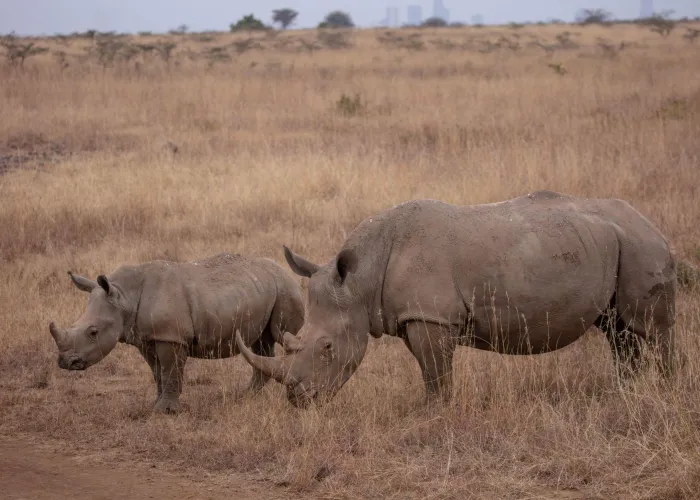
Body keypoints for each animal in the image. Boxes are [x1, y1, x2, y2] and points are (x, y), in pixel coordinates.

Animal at [49, 252, 304, 413]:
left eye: (93, 332)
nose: (66, 362)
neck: (124, 296)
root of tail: (284, 270)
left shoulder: (170, 336)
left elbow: (170, 370)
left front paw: (166, 411)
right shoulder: (147, 337)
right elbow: (158, 372)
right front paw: (156, 405)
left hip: (285, 289)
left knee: (283, 336)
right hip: (260, 289)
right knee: (261, 344)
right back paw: (246, 396)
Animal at [236, 190, 677, 408]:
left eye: (327, 348)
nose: (297, 400)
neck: (360, 281)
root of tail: (650, 223)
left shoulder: (430, 316)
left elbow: (435, 371)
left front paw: (433, 412)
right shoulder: (415, 317)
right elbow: (428, 369)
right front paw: (431, 408)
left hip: (642, 247)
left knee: (652, 329)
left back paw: (665, 390)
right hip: (613, 244)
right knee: (618, 331)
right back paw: (625, 393)